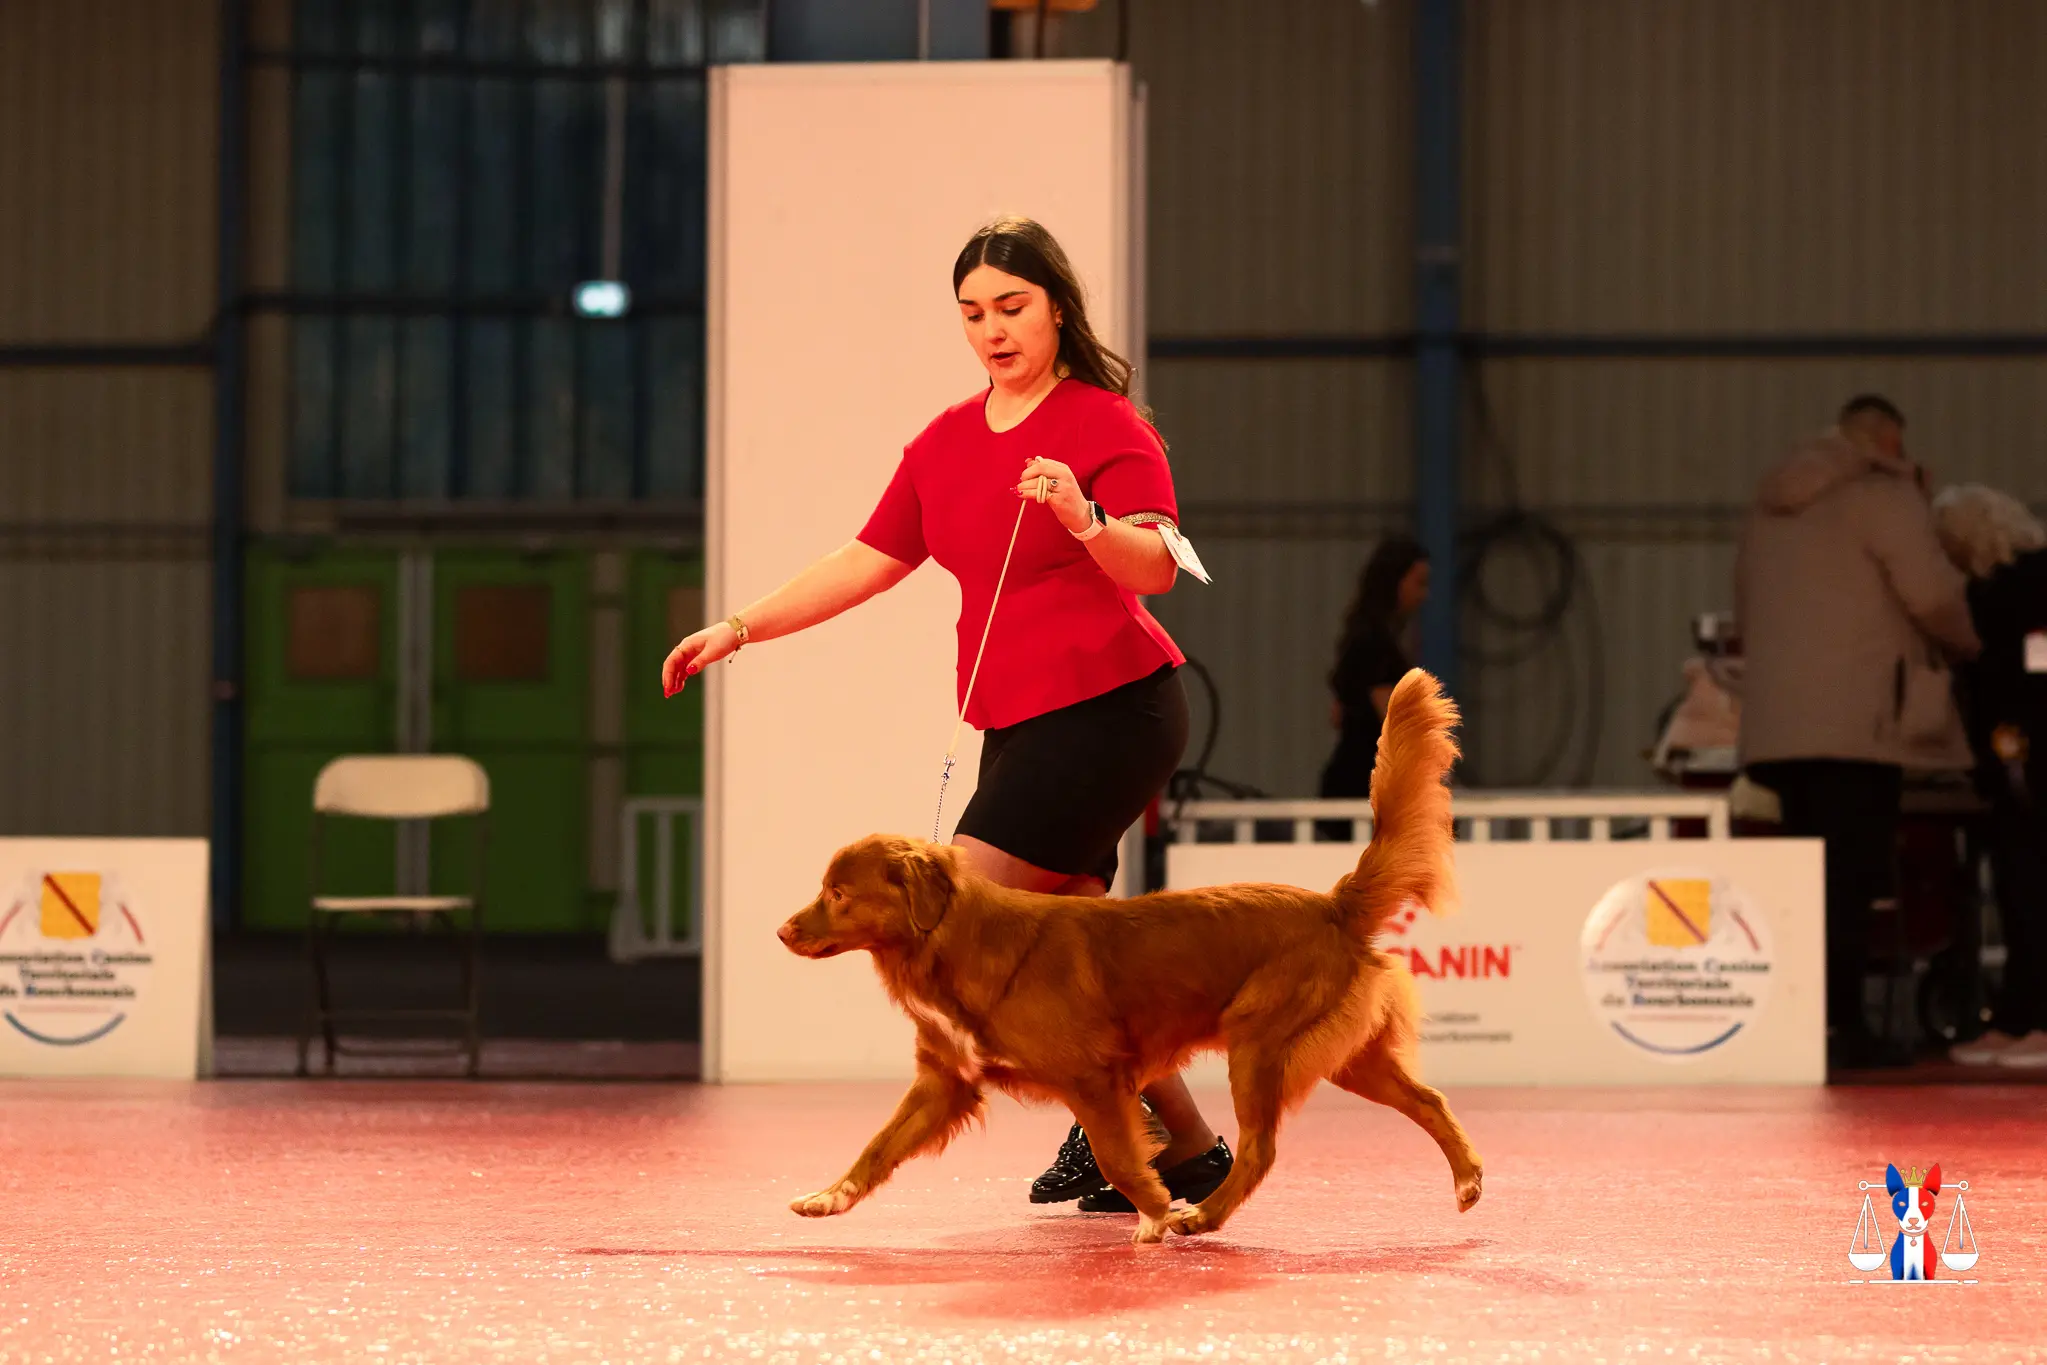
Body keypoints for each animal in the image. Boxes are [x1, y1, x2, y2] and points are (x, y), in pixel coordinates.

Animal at [776, 668, 1480, 1244]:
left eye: (838, 894)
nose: (781, 931)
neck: (958, 940)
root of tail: (1333, 905)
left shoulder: (1095, 1078)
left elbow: (1119, 1155)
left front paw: (1154, 1212)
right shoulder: (943, 1081)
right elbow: (877, 1146)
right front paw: (830, 1196)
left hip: (1259, 1047)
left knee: (1260, 1149)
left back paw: (1202, 1214)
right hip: (1348, 1057)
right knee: (1430, 1100)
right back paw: (1468, 1178)